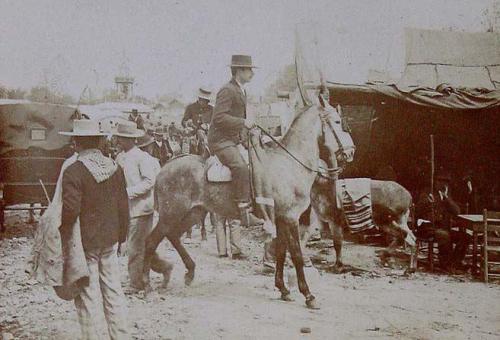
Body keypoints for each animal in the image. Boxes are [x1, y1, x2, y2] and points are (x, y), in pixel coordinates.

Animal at [144, 98, 356, 308]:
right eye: (337, 122)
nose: (351, 153)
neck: (289, 164)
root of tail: (164, 168)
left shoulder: (280, 219)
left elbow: (281, 251)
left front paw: (283, 289)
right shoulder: (290, 218)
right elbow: (296, 254)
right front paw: (308, 295)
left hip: (194, 213)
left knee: (172, 236)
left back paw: (186, 271)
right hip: (172, 214)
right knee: (152, 240)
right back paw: (148, 281)